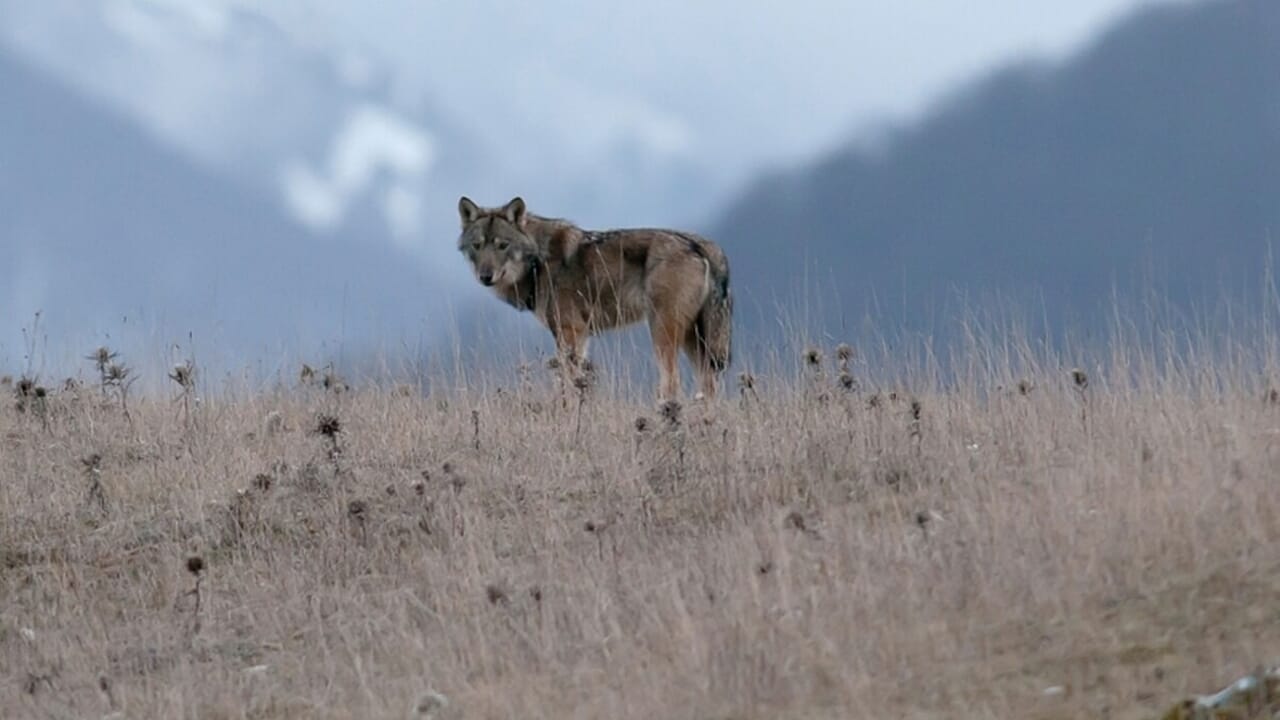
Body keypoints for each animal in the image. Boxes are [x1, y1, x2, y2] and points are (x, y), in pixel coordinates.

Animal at [457, 196, 733, 402]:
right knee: (709, 386)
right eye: (477, 246)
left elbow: (567, 383)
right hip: (693, 340)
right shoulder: (580, 336)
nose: (485, 276)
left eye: (502, 245)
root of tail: (703, 245)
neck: (538, 262)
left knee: (673, 383)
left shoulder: (570, 332)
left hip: (663, 334)